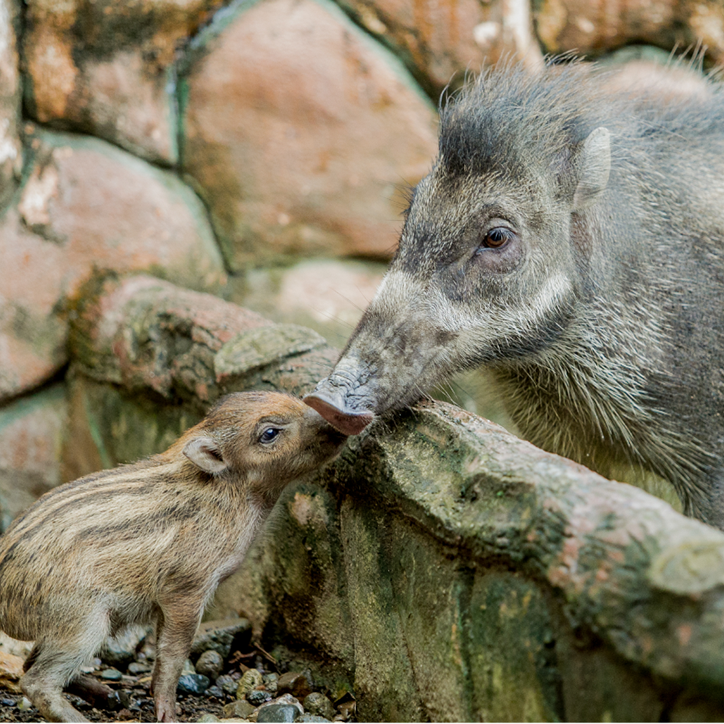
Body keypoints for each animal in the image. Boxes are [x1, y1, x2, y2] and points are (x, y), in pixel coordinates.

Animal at [0, 391, 346, 722]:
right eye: (269, 433)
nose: (335, 419)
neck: (233, 495)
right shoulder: (185, 589)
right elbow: (173, 652)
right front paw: (168, 715)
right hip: (82, 623)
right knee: (36, 681)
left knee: (30, 664)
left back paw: (110, 696)